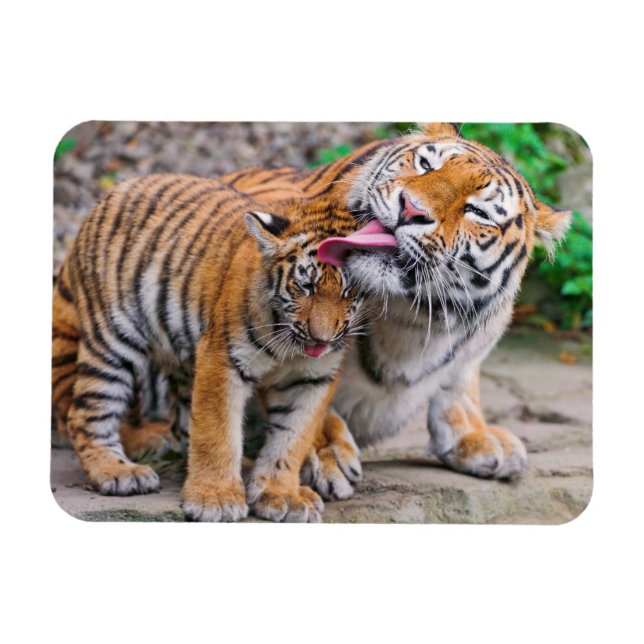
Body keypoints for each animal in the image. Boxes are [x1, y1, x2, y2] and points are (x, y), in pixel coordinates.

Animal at [51, 175, 371, 522]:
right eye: (305, 286)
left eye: (349, 291)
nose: (321, 339)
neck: (290, 344)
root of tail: (120, 187)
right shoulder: (224, 358)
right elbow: (217, 431)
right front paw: (215, 500)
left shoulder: (313, 378)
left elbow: (293, 437)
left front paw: (281, 494)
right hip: (112, 340)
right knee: (85, 412)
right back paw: (118, 472)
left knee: (181, 425)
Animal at [219, 122, 572, 495]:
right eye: (425, 165)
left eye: (478, 211)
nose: (411, 209)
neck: (411, 315)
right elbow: (302, 393)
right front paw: (326, 452)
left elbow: (460, 381)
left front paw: (476, 436)